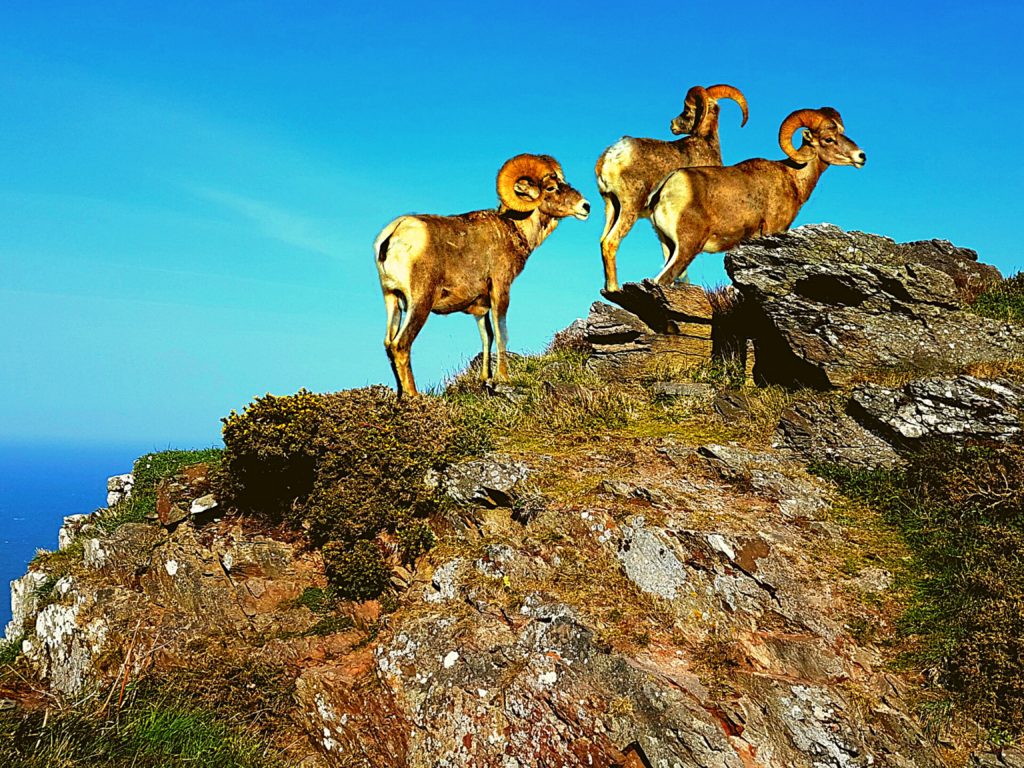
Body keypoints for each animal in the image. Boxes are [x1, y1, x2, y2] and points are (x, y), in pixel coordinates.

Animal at [374, 154, 590, 397]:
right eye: (551, 187)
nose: (585, 207)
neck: (513, 229)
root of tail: (395, 233)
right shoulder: (500, 290)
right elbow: (501, 332)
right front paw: (503, 377)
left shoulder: (480, 306)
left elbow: (487, 336)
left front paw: (485, 378)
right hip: (420, 303)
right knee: (401, 345)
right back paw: (413, 395)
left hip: (392, 300)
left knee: (389, 344)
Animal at [595, 84, 748, 294]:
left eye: (687, 110)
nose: (672, 124)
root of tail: (614, 153)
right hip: (629, 207)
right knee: (611, 242)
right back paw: (614, 289)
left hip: (612, 206)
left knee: (602, 241)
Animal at [646, 107, 866, 285]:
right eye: (828, 139)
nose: (861, 156)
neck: (792, 177)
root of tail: (666, 187)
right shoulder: (773, 229)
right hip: (687, 247)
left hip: (669, 247)